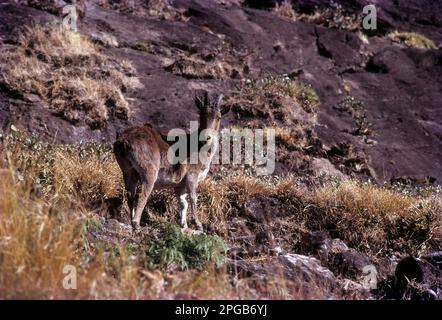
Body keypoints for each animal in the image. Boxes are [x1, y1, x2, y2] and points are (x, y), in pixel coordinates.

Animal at [115, 91, 224, 231]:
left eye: (219, 117)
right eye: (202, 115)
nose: (207, 138)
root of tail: (124, 142)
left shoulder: (179, 185)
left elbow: (183, 202)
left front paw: (184, 225)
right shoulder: (192, 175)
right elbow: (193, 198)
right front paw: (198, 225)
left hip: (128, 172)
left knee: (130, 195)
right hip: (148, 172)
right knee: (143, 194)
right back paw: (136, 224)